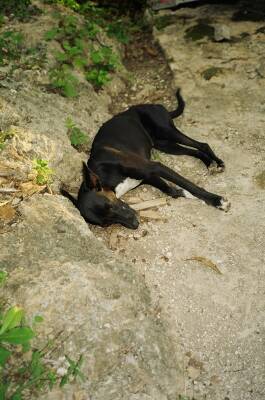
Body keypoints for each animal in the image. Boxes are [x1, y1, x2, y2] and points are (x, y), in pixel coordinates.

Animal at [61, 89, 229, 230]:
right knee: (195, 150)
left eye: (110, 206)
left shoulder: (154, 167)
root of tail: (152, 104)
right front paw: (184, 194)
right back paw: (209, 163)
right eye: (106, 223)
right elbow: (172, 191)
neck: (105, 176)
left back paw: (218, 163)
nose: (135, 224)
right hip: (165, 145)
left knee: (202, 144)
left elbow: (190, 185)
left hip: (167, 131)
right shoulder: (149, 176)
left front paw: (217, 200)